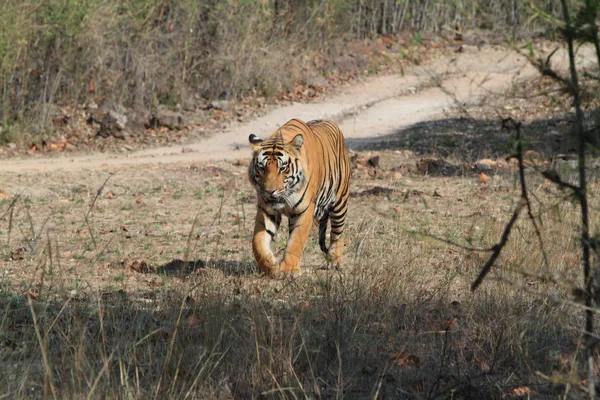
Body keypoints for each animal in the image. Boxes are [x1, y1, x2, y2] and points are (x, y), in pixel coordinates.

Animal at [248, 117, 352, 276]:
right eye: (262, 168)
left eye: (282, 168)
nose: (270, 191)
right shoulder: (266, 210)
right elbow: (257, 242)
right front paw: (271, 266)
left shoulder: (304, 210)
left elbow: (296, 241)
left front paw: (289, 270)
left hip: (340, 203)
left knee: (337, 234)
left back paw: (334, 261)